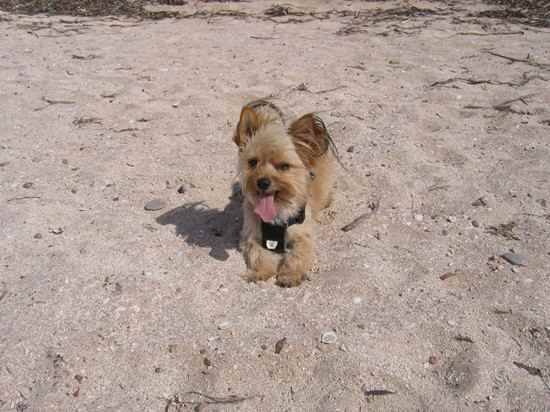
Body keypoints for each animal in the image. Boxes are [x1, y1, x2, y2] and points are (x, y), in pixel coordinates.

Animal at [233, 99, 336, 286]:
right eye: (253, 162)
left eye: (284, 166)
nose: (263, 182)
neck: (276, 211)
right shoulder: (251, 237)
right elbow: (258, 255)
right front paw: (261, 272)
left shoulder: (302, 236)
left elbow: (297, 256)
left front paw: (290, 275)